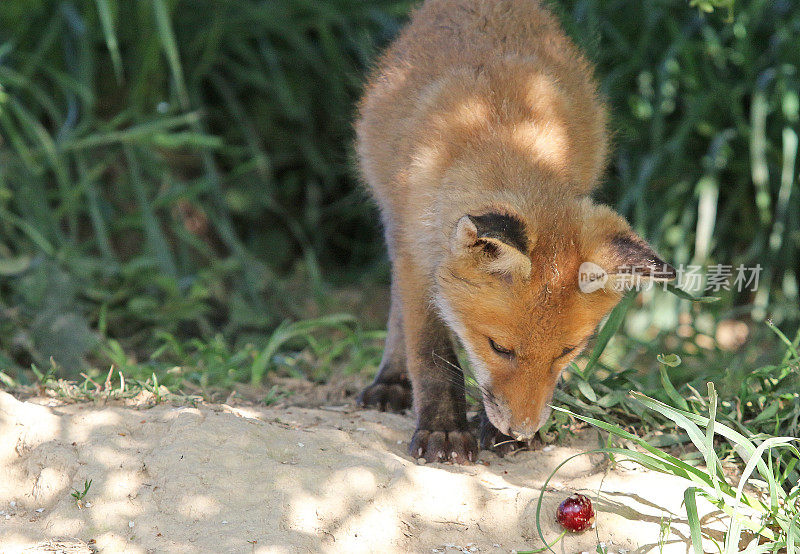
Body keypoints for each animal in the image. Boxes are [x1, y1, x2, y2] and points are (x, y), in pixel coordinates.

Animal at [356, 0, 676, 462]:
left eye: (567, 352)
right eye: (499, 348)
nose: (523, 430)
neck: (501, 127)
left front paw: (495, 434)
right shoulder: (418, 254)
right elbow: (432, 356)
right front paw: (444, 429)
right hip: (394, 225)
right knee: (399, 312)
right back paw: (391, 381)